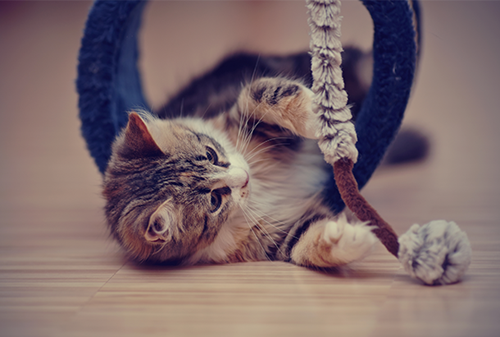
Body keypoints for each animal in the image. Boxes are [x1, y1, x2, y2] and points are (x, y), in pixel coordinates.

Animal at [102, 77, 376, 268]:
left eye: (211, 154)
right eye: (214, 200)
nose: (245, 177)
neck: (262, 187)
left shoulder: (242, 119)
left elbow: (256, 95)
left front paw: (318, 115)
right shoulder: (277, 236)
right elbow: (307, 243)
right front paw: (355, 237)